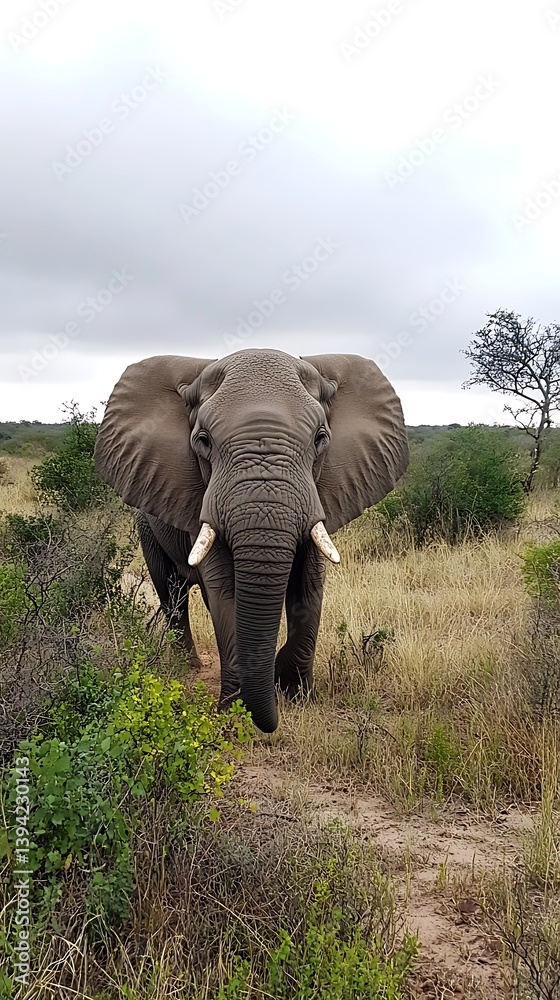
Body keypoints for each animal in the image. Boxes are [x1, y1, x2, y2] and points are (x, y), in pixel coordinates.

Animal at [94, 349, 408, 733]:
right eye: (203, 440)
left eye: (321, 438)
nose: (269, 723)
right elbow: (225, 589)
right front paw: (234, 709)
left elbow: (309, 586)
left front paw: (294, 693)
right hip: (146, 525)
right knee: (171, 592)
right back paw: (189, 667)